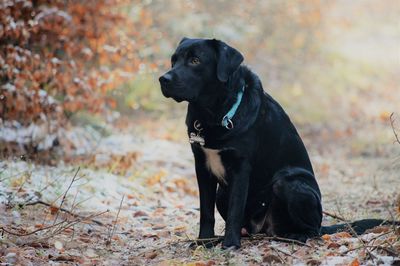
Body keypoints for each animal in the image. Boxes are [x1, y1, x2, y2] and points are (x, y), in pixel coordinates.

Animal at [160, 37, 390, 249]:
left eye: (195, 60)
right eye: (173, 60)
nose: (163, 79)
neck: (214, 113)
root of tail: (264, 228)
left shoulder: (241, 167)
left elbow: (235, 209)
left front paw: (230, 244)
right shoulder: (202, 165)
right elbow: (206, 211)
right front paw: (205, 241)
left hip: (289, 183)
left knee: (314, 230)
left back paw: (297, 236)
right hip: (222, 193)